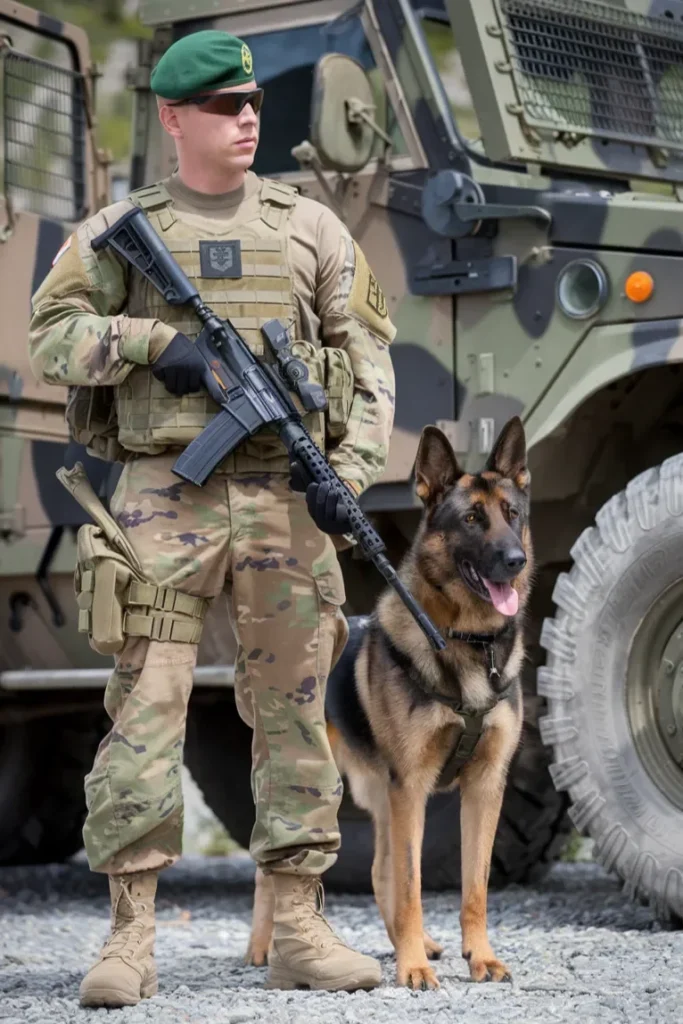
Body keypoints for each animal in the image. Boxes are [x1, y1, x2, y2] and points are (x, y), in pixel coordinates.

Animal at [245, 415, 532, 991]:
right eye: (472, 519)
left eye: (513, 515)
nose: (516, 561)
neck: (469, 641)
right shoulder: (413, 788)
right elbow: (413, 884)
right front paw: (413, 968)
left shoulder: (483, 787)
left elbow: (474, 886)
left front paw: (478, 956)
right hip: (314, 786)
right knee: (271, 866)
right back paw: (266, 947)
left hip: (380, 793)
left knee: (380, 871)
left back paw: (407, 942)